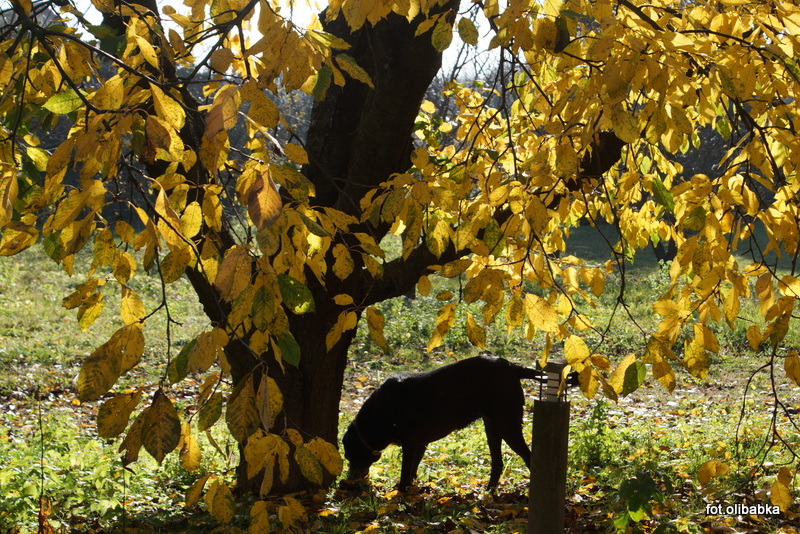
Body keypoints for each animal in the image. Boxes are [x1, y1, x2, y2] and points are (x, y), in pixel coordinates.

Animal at [342, 354, 574, 490]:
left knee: (528, 457)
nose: (349, 481)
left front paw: (400, 493)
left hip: (507, 423)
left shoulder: (410, 441)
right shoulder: (420, 443)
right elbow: (413, 469)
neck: (379, 413)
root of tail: (511, 366)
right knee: (498, 462)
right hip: (492, 425)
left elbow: (405, 471)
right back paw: (488, 490)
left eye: (349, 455)